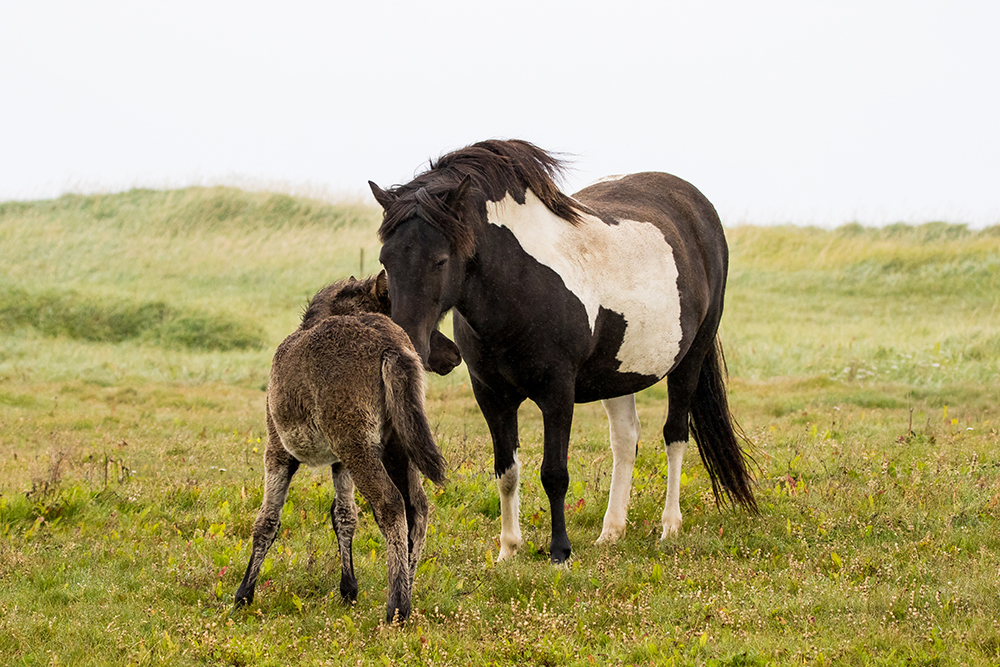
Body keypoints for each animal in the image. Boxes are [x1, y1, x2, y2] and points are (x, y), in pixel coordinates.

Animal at [234, 272, 458, 628]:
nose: (453, 354)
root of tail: (390, 345)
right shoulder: (340, 462)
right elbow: (344, 516)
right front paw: (348, 590)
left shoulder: (278, 450)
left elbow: (267, 519)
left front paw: (243, 594)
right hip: (394, 447)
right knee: (418, 508)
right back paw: (407, 591)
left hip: (360, 449)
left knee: (391, 504)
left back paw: (397, 607)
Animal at [370, 140, 756, 564]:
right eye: (386, 260)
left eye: (440, 260)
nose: (406, 341)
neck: (520, 282)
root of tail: (696, 205)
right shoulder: (491, 395)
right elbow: (507, 471)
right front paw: (508, 550)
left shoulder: (557, 393)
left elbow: (554, 473)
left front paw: (560, 552)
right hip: (618, 374)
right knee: (625, 440)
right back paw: (612, 531)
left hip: (690, 358)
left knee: (675, 435)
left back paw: (669, 526)